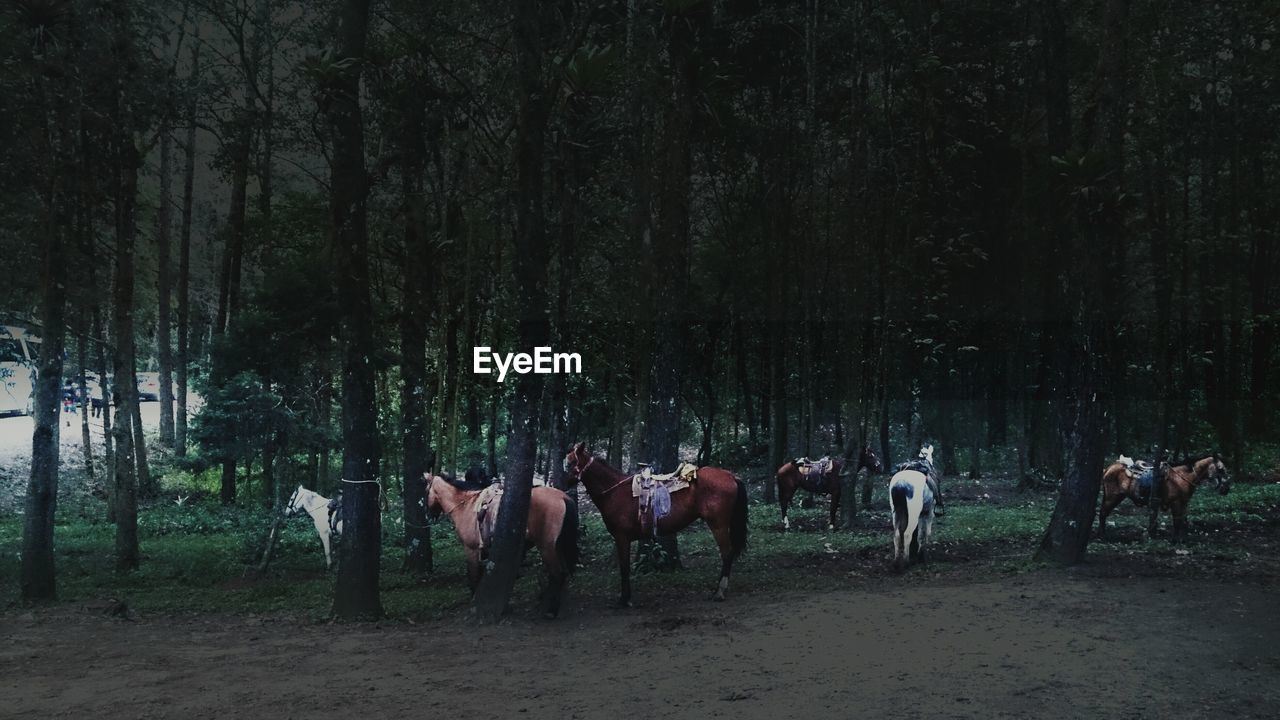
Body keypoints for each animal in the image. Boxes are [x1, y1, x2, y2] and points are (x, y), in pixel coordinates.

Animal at [424, 471, 581, 617]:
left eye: (426, 490)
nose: (429, 515)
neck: (466, 507)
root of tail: (563, 497)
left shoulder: (471, 549)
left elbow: (473, 575)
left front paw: (474, 600)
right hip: (557, 546)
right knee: (562, 573)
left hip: (547, 547)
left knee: (557, 573)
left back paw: (551, 610)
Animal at [563, 440, 747, 602]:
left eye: (571, 462)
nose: (563, 483)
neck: (614, 492)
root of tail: (731, 476)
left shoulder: (622, 538)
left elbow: (624, 567)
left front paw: (624, 599)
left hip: (718, 525)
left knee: (727, 553)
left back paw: (719, 592)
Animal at [890, 440, 942, 568]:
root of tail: (901, 483)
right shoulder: (928, 513)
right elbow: (925, 534)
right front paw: (923, 555)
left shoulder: (921, 514)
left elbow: (918, 534)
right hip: (913, 514)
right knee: (907, 534)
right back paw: (905, 561)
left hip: (896, 512)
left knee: (897, 535)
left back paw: (897, 561)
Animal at [1100, 450, 1228, 540]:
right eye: (1221, 469)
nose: (1226, 489)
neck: (1182, 477)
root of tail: (1108, 468)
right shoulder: (1176, 503)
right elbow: (1176, 522)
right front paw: (1175, 540)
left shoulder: (1184, 503)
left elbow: (1182, 521)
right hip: (1112, 497)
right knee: (1103, 513)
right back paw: (1102, 535)